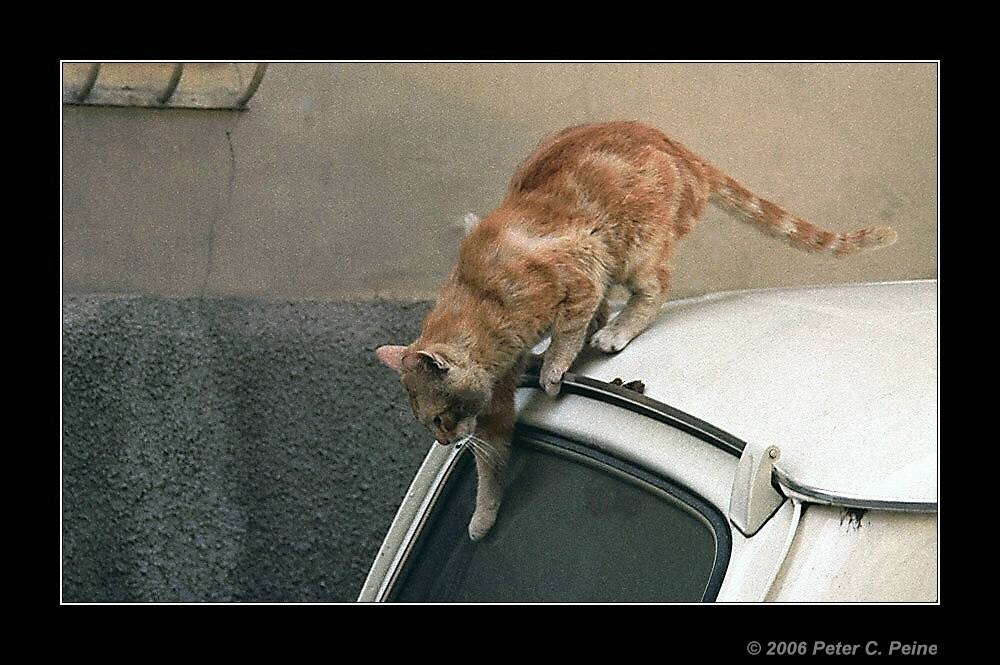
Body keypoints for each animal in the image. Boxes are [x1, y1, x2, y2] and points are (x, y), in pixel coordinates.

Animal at [376, 120, 900, 540]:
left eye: (440, 417)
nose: (444, 442)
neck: (479, 304)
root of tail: (676, 147)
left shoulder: (580, 271)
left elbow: (570, 329)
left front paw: (555, 365)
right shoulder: (497, 406)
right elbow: (490, 466)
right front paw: (483, 520)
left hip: (634, 248)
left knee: (655, 290)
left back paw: (614, 332)